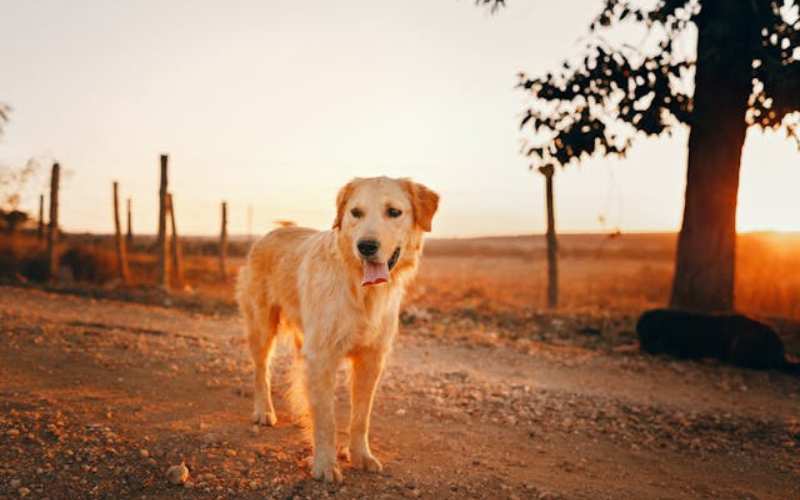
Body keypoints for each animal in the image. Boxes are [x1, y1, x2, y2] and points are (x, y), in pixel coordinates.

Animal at [234, 178, 440, 482]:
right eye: (356, 213)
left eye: (393, 212)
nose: (366, 246)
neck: (361, 291)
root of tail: (275, 230)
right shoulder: (322, 356)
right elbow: (326, 419)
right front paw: (324, 464)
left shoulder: (371, 359)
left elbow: (360, 417)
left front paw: (360, 456)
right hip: (262, 328)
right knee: (262, 371)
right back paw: (264, 411)